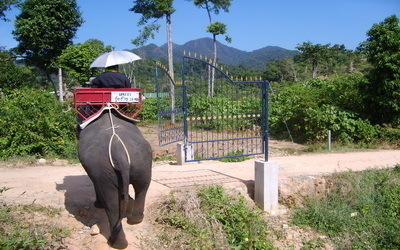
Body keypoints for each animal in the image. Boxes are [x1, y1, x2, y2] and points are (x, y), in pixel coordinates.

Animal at [77, 109, 152, 248]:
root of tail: (118, 151)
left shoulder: (96, 173)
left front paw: (97, 205)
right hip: (142, 161)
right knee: (143, 187)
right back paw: (135, 220)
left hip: (102, 169)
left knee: (111, 204)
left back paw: (115, 243)